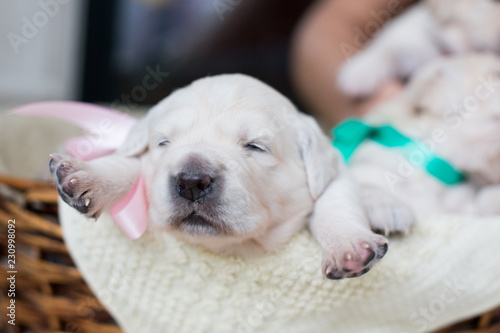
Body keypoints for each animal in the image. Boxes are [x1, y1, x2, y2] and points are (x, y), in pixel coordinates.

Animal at [48, 74, 408, 278]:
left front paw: (349, 246)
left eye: (255, 146)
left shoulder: (332, 174)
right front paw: (87, 175)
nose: (192, 182)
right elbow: (132, 164)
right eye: (163, 143)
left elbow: (335, 201)